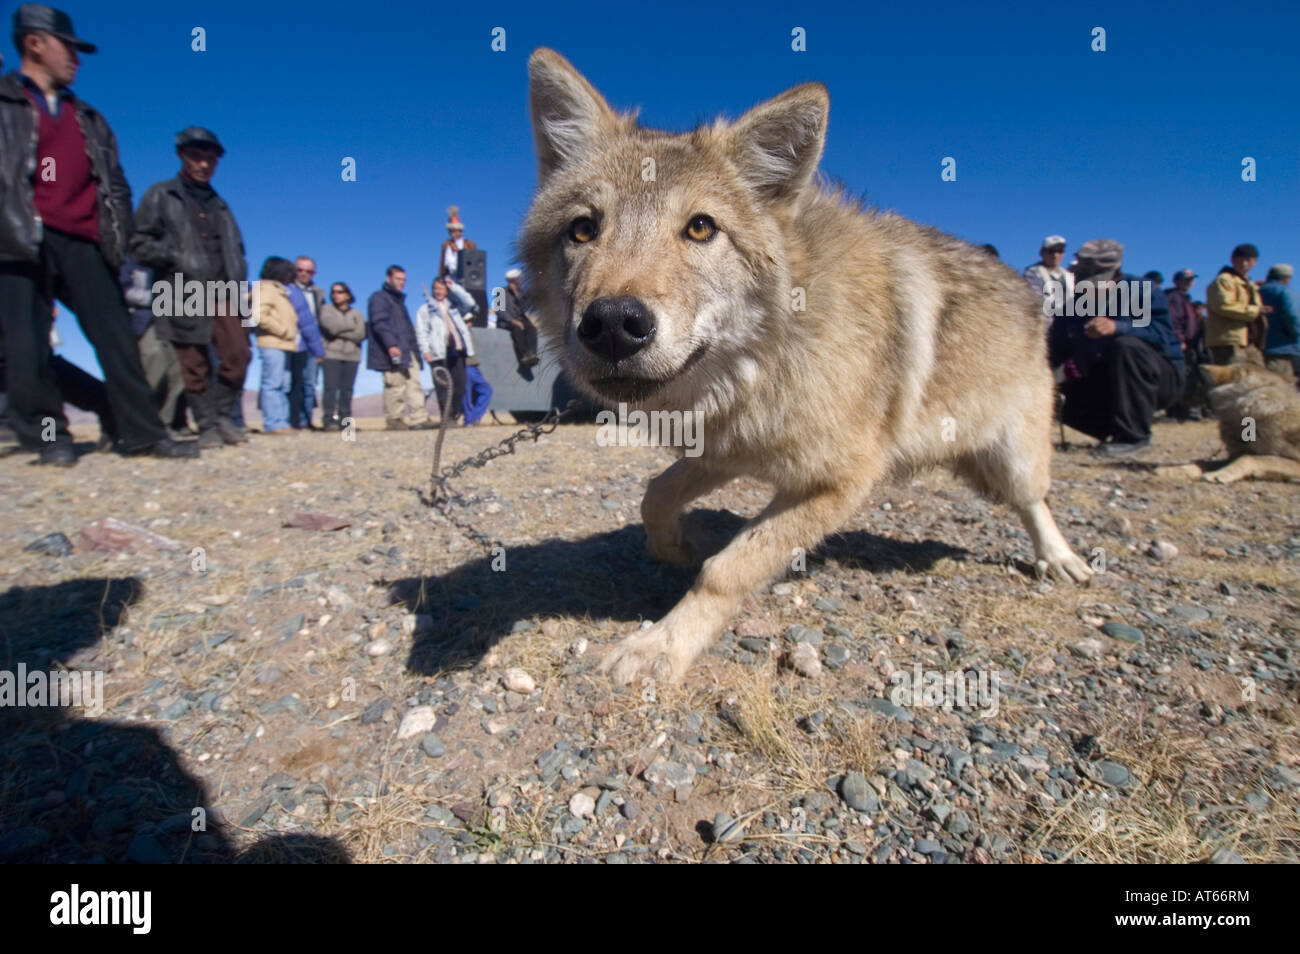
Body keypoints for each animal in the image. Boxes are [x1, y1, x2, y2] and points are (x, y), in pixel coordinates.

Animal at [520, 48, 1097, 686]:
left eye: (701, 227)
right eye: (583, 228)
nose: (614, 323)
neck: (766, 360)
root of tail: (1027, 290)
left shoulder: (838, 482)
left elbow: (728, 569)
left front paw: (663, 646)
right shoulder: (727, 450)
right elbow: (655, 494)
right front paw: (673, 547)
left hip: (1015, 457)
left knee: (1034, 501)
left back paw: (1061, 558)